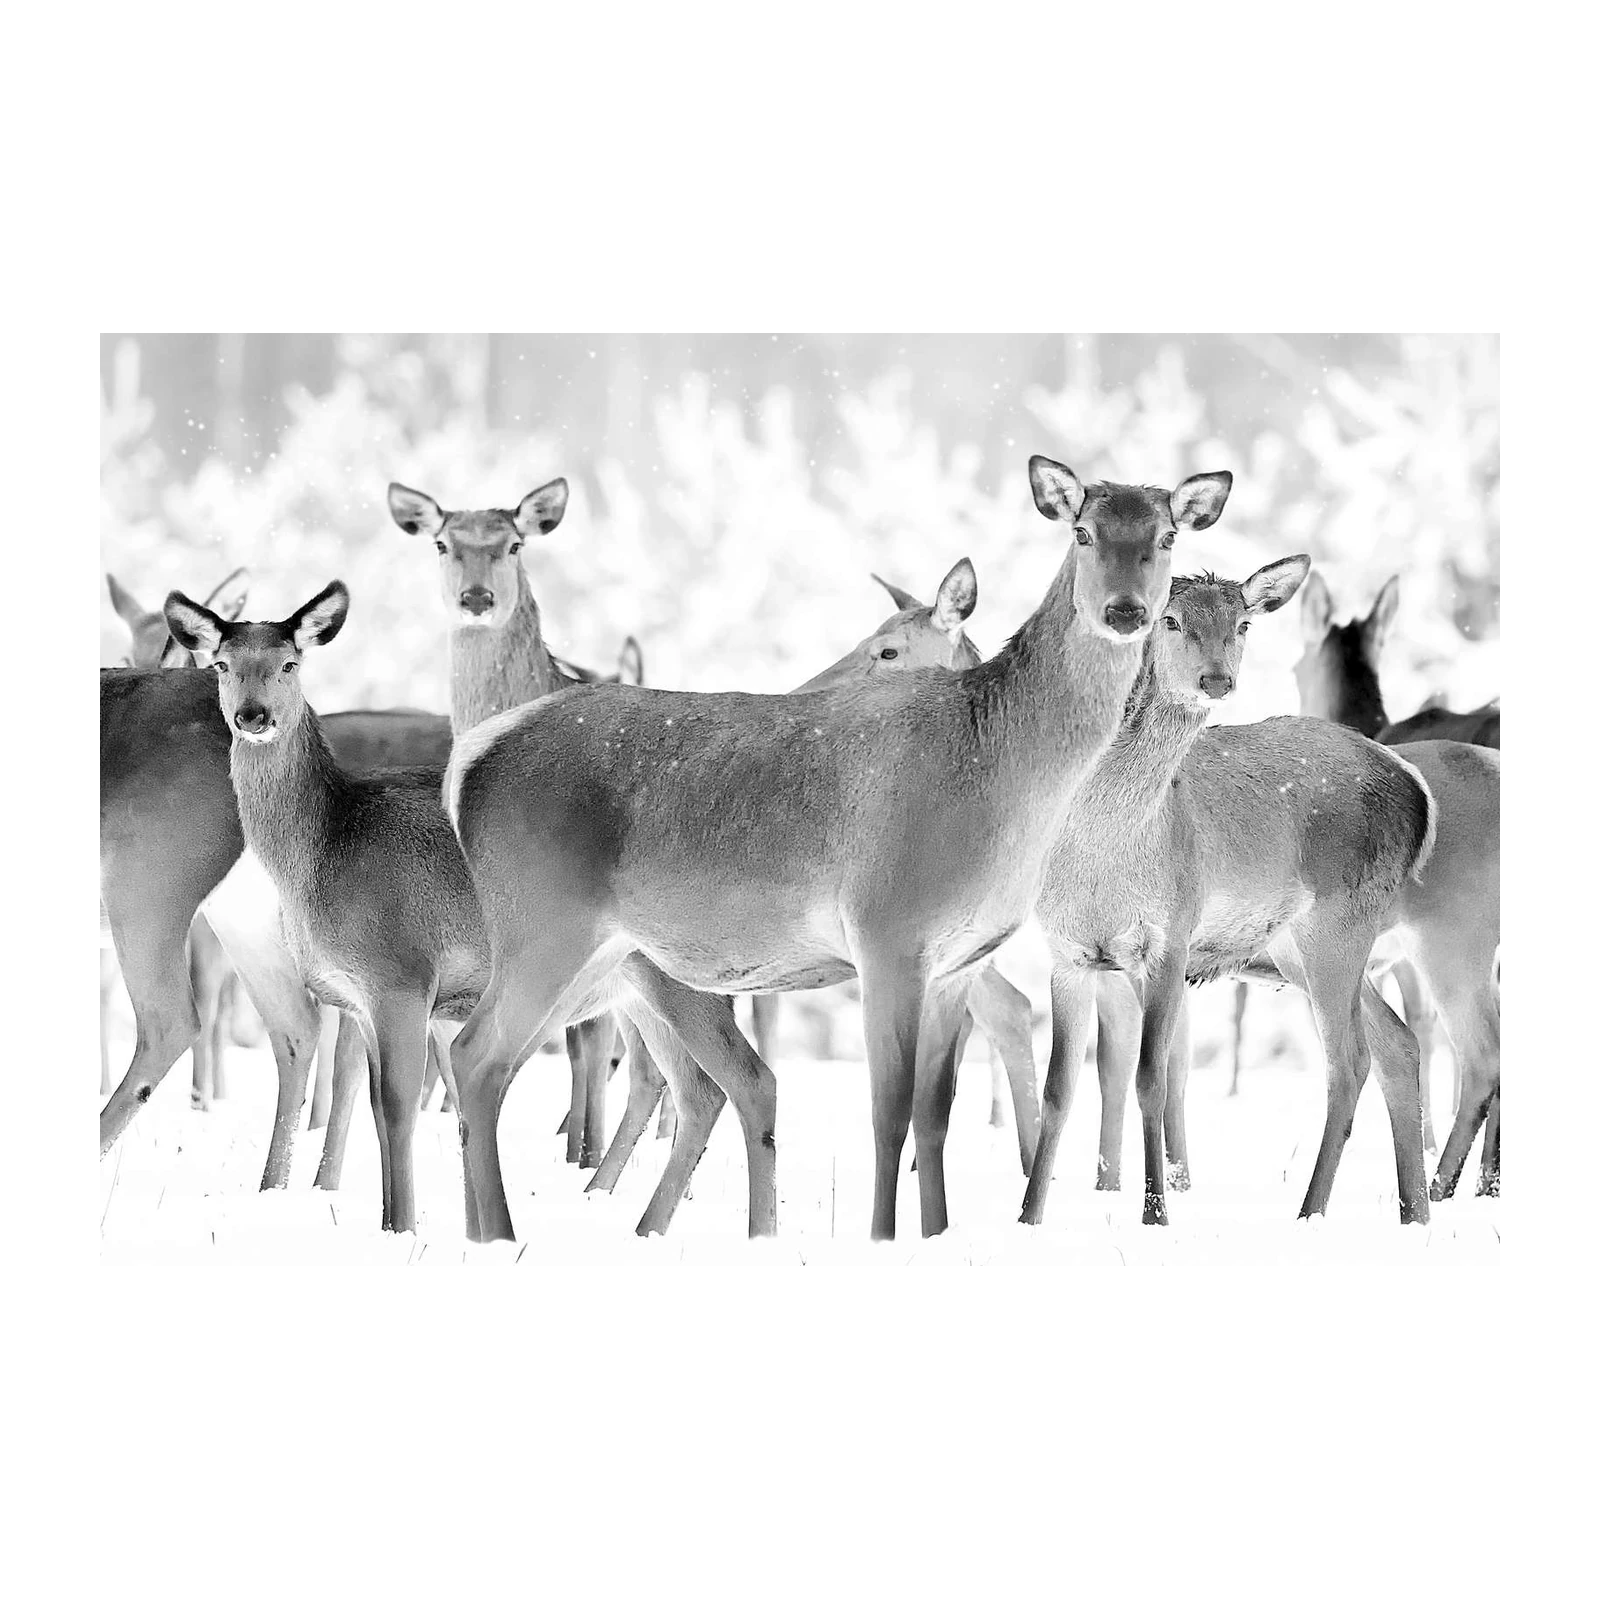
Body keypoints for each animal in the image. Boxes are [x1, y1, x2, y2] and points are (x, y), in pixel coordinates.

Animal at [163, 581, 778, 1238]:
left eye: (289, 663)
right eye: (222, 664)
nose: (253, 716)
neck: (326, 850)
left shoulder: (400, 976)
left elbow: (399, 1105)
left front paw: (403, 1226)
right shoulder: (357, 999)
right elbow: (372, 1101)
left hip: (683, 982)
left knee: (745, 1081)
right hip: (638, 989)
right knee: (694, 1091)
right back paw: (639, 1224)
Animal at [442, 457, 1233, 1242]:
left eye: (1166, 535)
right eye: (1083, 531)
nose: (1126, 610)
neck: (1002, 777)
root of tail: (471, 759)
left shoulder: (957, 958)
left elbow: (934, 1115)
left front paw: (937, 1236)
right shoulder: (888, 929)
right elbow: (887, 1112)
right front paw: (882, 1237)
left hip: (603, 954)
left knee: (489, 1057)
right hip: (544, 923)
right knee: (478, 1058)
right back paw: (502, 1237)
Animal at [1014, 557, 1439, 1230]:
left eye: (1241, 623)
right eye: (1170, 618)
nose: (1216, 678)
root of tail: (1418, 790)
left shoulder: (1171, 938)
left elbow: (1153, 1081)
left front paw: (1155, 1216)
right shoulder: (1068, 953)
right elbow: (1059, 1091)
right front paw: (1028, 1218)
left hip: (1341, 923)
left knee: (1350, 1062)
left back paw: (1309, 1214)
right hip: (1296, 950)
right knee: (1399, 1045)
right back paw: (1414, 1215)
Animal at [1294, 569, 1504, 1192]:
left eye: (1295, 666)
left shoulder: (1397, 953)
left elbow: (1416, 1035)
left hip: (1451, 937)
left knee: (1482, 1053)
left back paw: (1447, 1182)